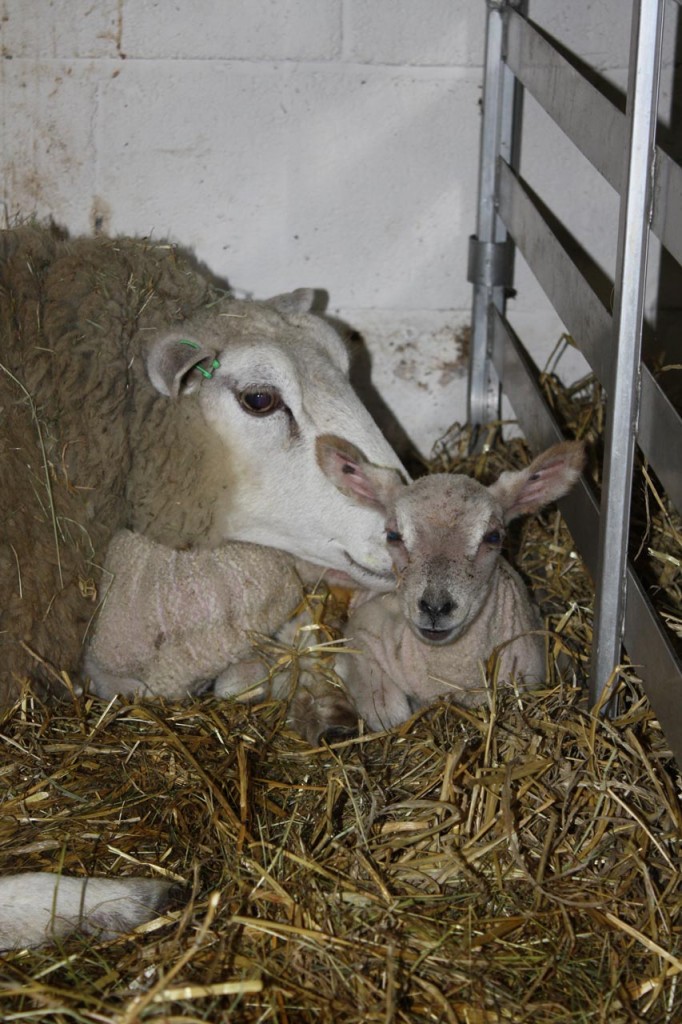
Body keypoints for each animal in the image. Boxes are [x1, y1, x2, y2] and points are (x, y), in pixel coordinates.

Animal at [315, 436, 585, 733]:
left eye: (493, 537)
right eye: (393, 535)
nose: (435, 607)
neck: (449, 671)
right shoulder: (362, 631)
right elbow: (391, 714)